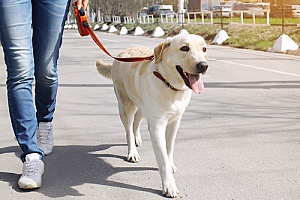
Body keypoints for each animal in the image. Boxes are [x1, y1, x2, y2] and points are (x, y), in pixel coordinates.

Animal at [96, 32, 209, 197]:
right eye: (184, 48)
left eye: (204, 49)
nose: (203, 66)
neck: (170, 86)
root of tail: (120, 55)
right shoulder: (157, 126)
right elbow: (162, 158)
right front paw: (169, 185)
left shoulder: (175, 121)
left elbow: (169, 148)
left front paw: (170, 164)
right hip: (125, 105)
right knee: (128, 129)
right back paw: (132, 151)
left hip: (143, 107)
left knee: (136, 121)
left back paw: (137, 138)